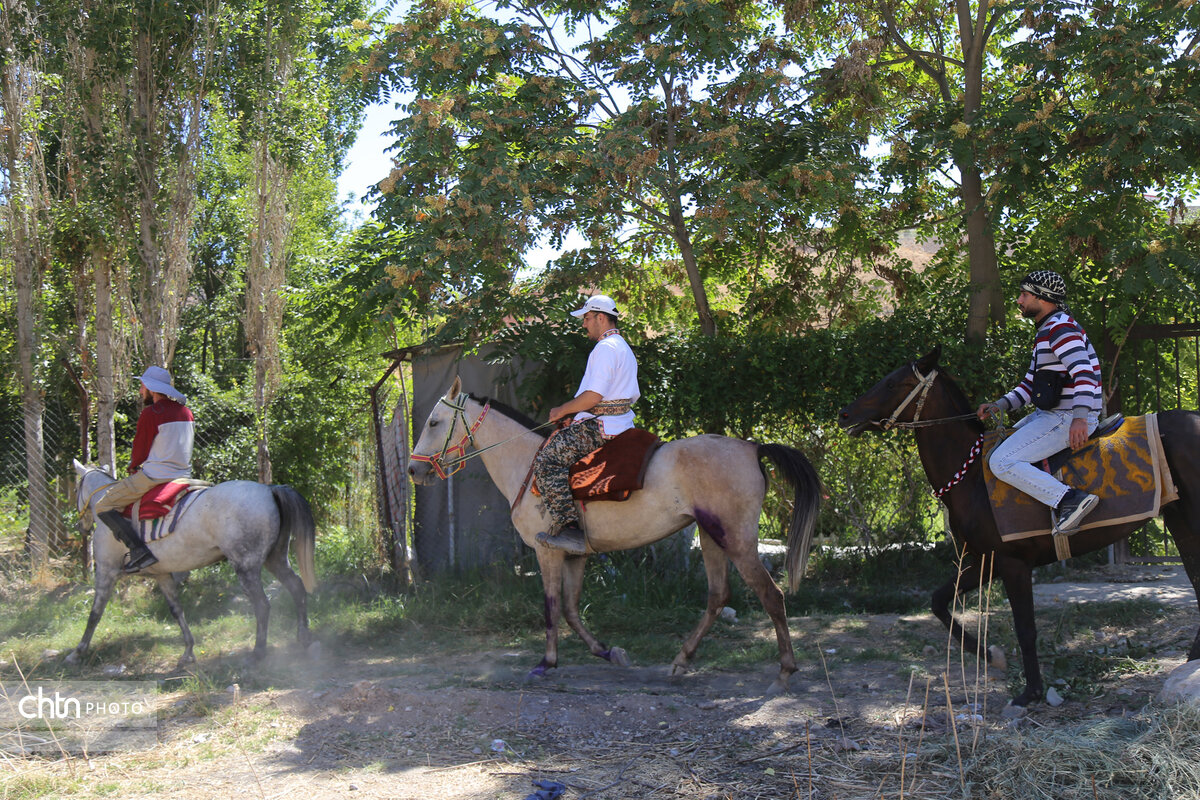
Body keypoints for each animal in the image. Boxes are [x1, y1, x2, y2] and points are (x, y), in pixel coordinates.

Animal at [408, 379, 820, 690]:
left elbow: (551, 607)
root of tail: (753, 447)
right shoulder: (576, 554)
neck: (527, 464)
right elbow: (572, 609)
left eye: (434, 422)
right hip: (711, 536)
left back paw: (784, 671)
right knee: (718, 596)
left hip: (737, 541)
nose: (414, 470)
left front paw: (546, 663)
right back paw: (681, 660)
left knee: (771, 595)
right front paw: (608, 652)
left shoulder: (548, 552)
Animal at [835, 347, 1200, 710]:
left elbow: (1025, 628)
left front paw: (1031, 691)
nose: (844, 413)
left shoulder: (1013, 565)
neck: (971, 478)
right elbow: (938, 601)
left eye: (892, 383)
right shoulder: (985, 561)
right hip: (1179, 520)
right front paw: (989, 655)